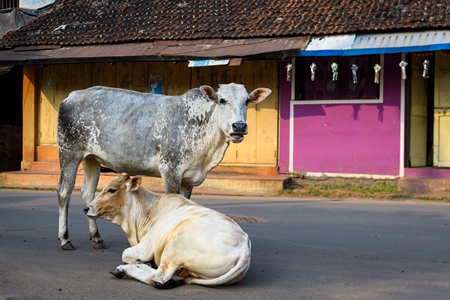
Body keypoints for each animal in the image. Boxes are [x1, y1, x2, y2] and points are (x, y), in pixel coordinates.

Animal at [54, 83, 268, 250]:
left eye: (247, 101)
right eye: (222, 100)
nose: (239, 126)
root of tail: (72, 95)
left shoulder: (188, 179)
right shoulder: (170, 169)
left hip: (92, 159)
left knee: (88, 193)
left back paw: (96, 238)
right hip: (69, 153)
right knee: (64, 191)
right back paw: (65, 239)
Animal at [83, 173, 251, 288]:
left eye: (112, 190)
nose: (86, 208)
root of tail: (244, 249)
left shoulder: (145, 248)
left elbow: (125, 253)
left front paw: (138, 262)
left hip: (176, 241)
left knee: (159, 277)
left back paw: (123, 269)